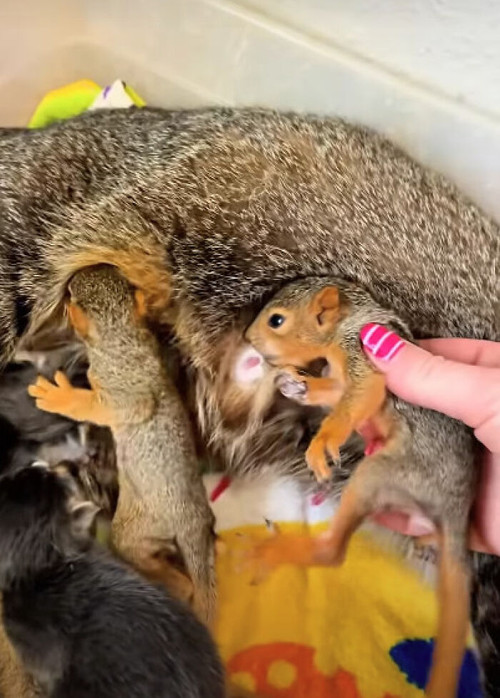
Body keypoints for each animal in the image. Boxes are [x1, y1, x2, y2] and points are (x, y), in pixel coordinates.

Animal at [29, 265, 217, 625]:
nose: (70, 282)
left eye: (71, 295)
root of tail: (193, 523)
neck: (123, 331)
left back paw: (174, 583)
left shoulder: (119, 385)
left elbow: (119, 407)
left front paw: (61, 397)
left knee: (142, 553)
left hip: (138, 524)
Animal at [245, 276, 478, 698]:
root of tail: (457, 505)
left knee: (332, 551)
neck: (349, 317)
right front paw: (296, 385)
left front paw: (324, 439)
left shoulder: (363, 349)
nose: (247, 337)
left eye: (276, 320)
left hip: (385, 473)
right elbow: (336, 392)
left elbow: (359, 396)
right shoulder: (339, 374)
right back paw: (426, 540)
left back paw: (280, 551)